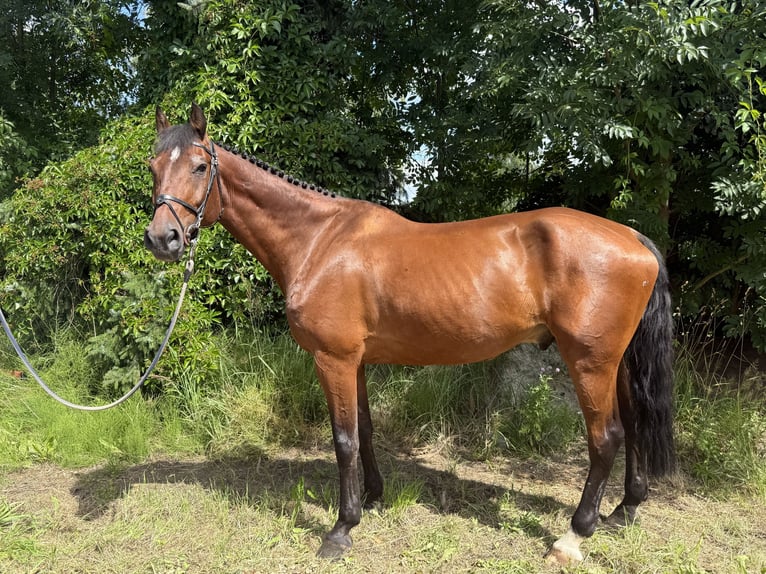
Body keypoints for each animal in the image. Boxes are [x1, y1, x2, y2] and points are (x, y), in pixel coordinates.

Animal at [144, 103, 675, 564]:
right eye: (153, 167)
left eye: (198, 166)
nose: (161, 239)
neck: (319, 240)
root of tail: (632, 237)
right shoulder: (354, 360)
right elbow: (365, 430)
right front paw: (371, 499)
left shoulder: (332, 359)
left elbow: (343, 439)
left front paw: (341, 529)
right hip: (615, 362)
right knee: (632, 425)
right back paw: (625, 509)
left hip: (589, 362)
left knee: (605, 437)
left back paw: (573, 536)